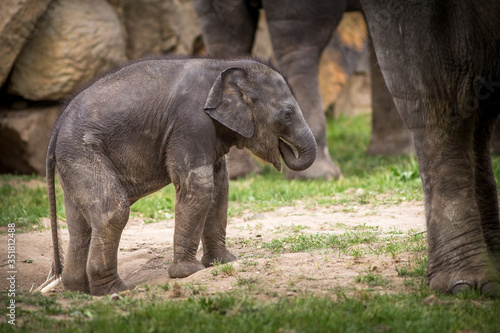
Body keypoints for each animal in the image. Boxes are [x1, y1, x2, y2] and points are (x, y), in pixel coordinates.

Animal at [48, 55, 318, 294]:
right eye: (287, 114)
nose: (284, 147)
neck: (223, 65)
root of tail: (57, 124)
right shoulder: (190, 122)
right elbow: (199, 187)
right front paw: (188, 273)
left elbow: (220, 187)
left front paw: (224, 262)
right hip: (82, 152)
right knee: (112, 212)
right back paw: (115, 291)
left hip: (73, 161)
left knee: (79, 224)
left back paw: (78, 290)